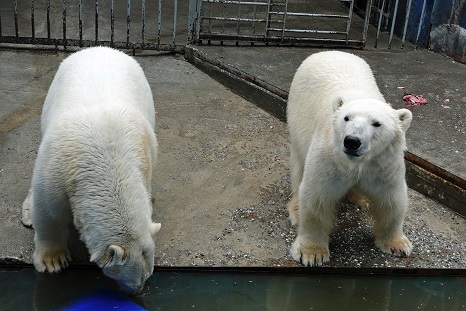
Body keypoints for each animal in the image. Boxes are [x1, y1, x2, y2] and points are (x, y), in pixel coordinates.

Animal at [21, 46, 162, 294]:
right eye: (131, 277)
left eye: (148, 273)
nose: (137, 291)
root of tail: (100, 48)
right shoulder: (59, 169)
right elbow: (49, 212)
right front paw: (53, 261)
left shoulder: (145, 159)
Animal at [286, 51, 414, 268]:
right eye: (346, 118)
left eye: (376, 123)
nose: (352, 141)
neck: (358, 162)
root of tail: (327, 52)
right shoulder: (329, 157)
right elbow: (317, 195)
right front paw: (311, 253)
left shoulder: (384, 163)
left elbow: (391, 199)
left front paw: (397, 245)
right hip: (297, 119)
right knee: (299, 168)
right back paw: (295, 210)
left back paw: (361, 200)